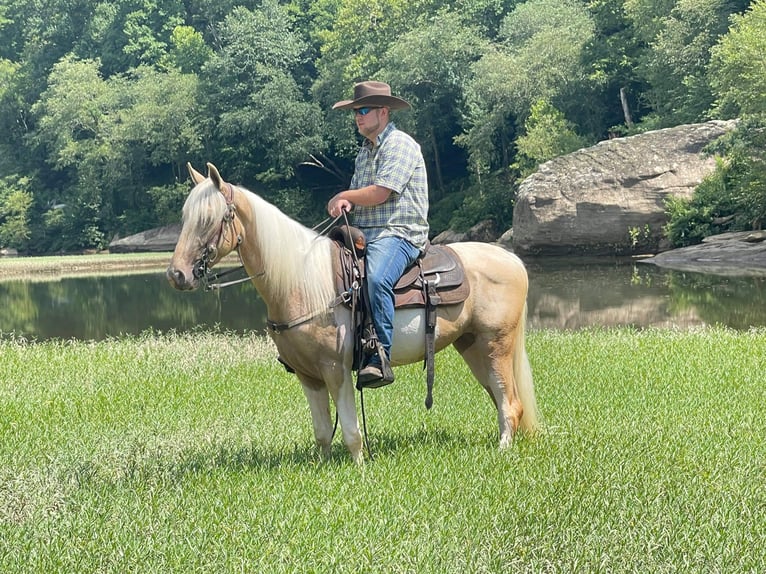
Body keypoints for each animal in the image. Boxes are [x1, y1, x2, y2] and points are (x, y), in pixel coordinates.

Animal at [168, 161, 540, 464]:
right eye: (184, 219)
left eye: (211, 219)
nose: (177, 275)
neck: (302, 281)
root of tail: (512, 259)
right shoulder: (307, 375)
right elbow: (322, 432)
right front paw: (321, 465)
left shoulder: (336, 369)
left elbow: (350, 429)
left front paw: (359, 467)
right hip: (472, 345)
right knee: (501, 397)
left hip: (496, 344)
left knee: (510, 403)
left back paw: (503, 449)